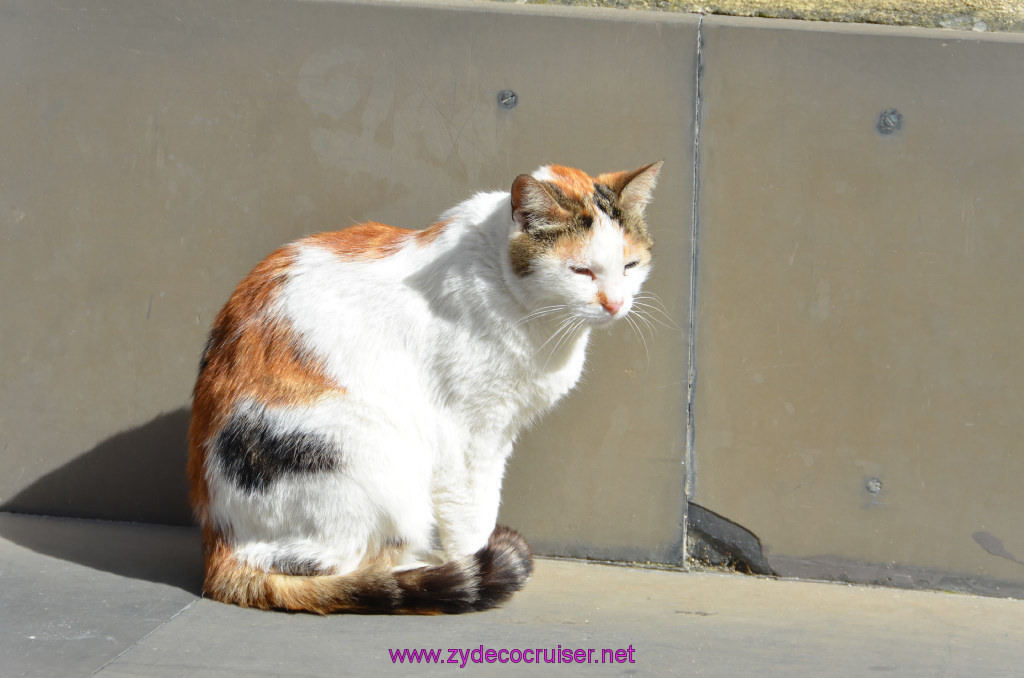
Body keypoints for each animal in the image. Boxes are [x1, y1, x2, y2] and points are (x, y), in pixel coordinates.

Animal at [187, 160, 659, 614]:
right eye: (581, 270)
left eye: (630, 267)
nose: (616, 304)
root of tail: (217, 549)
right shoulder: (465, 437)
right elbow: (472, 514)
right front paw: (475, 558)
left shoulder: (499, 435)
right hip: (371, 460)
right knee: (337, 565)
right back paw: (424, 572)